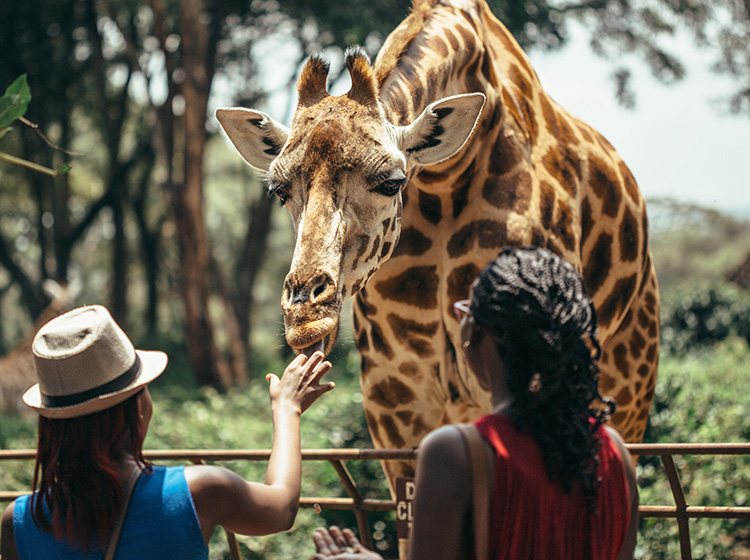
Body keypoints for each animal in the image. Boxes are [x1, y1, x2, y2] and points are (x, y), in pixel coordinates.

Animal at [217, 0, 659, 491]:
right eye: (278, 191)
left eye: (391, 182)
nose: (305, 317)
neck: (446, 179)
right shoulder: (395, 395)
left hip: (629, 378)